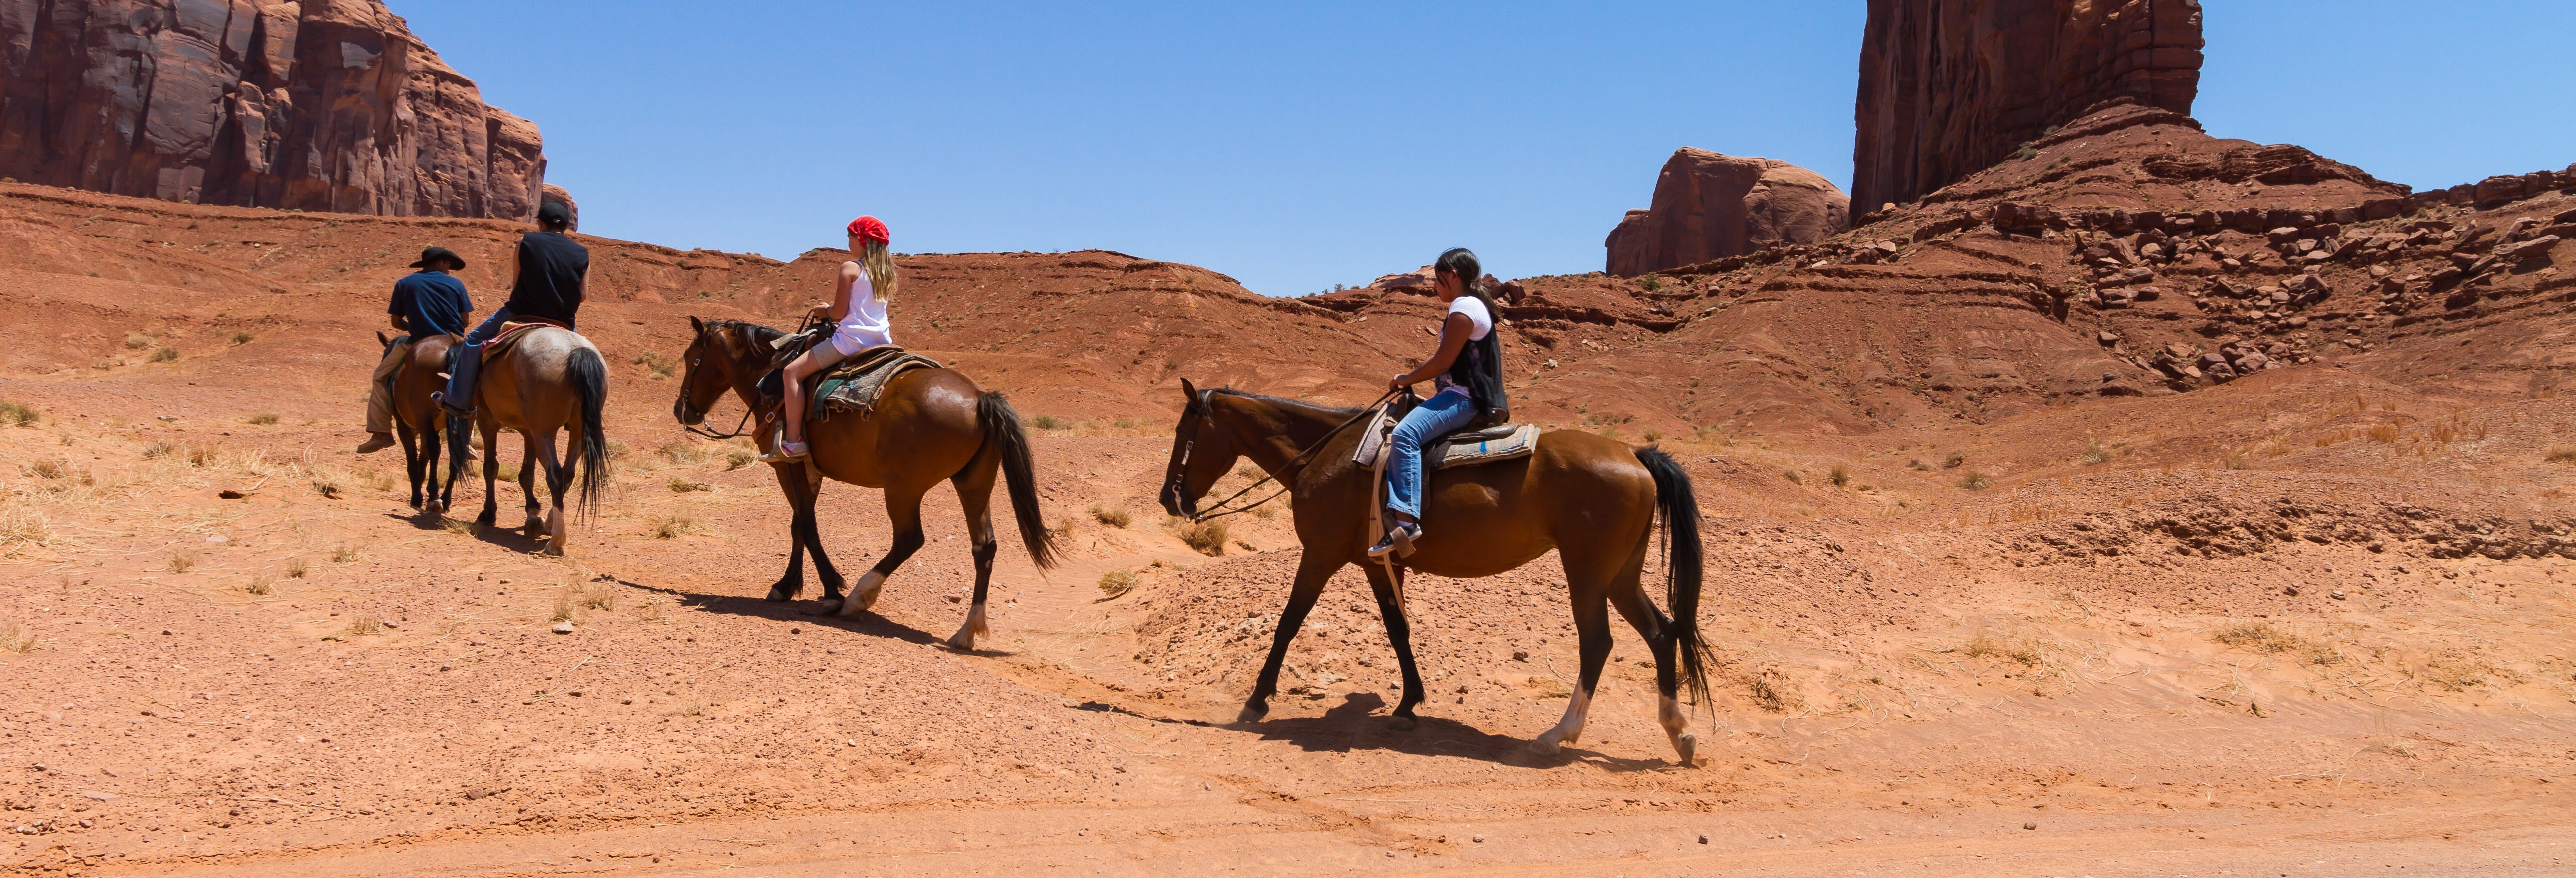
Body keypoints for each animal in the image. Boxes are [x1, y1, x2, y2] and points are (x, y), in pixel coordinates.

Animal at [376, 332, 461, 512]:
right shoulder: (428, 428)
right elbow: (424, 458)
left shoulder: (405, 426)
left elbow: (414, 461)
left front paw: (417, 497)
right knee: (456, 454)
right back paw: (446, 499)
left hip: (423, 415)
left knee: (436, 449)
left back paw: (434, 496)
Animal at [675, 312, 1066, 646]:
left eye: (689, 358)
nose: (682, 411)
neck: (773, 375)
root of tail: (980, 398)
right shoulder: (808, 472)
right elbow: (799, 524)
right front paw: (790, 586)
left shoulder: (789, 466)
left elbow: (804, 524)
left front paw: (829, 591)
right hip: (973, 482)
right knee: (984, 546)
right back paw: (967, 631)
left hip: (903, 488)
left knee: (909, 538)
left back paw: (858, 597)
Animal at [1164, 378, 1710, 762]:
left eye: (1184, 431)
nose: (1170, 498)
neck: (1327, 455)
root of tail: (1633, 454)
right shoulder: (1377, 562)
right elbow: (1398, 629)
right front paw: (1409, 704)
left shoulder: (1320, 554)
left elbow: (1288, 622)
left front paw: (1256, 700)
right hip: (1621, 574)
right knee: (1662, 632)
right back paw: (1680, 734)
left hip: (1589, 574)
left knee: (1598, 643)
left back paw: (1557, 735)